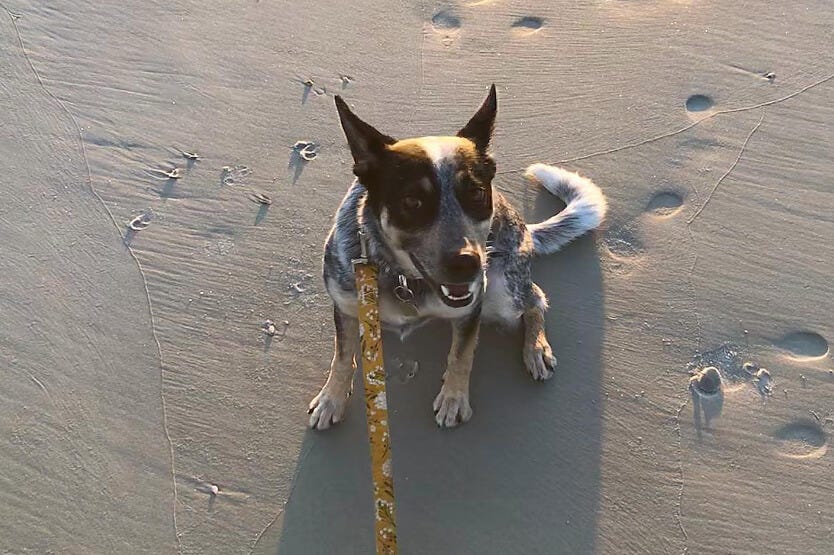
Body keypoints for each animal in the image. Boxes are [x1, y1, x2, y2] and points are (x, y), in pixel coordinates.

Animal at [306, 84, 604, 430]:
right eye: (412, 201)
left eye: (476, 193)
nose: (468, 263)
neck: (404, 279)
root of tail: (527, 231)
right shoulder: (345, 304)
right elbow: (342, 356)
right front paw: (332, 399)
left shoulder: (473, 306)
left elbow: (461, 355)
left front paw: (453, 399)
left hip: (504, 292)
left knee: (536, 298)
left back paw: (536, 348)